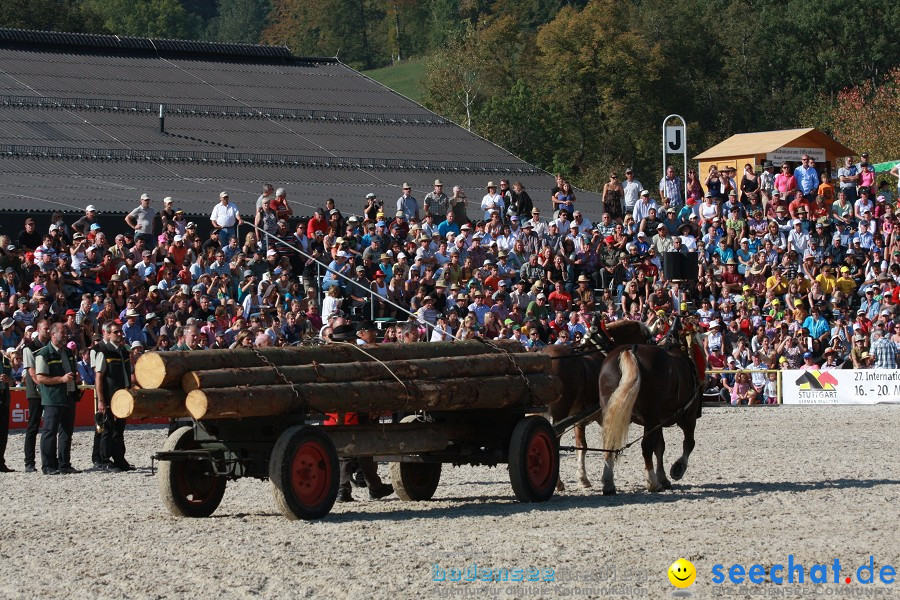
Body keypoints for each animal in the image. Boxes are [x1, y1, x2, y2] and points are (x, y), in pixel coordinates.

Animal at [600, 330, 708, 494]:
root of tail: (631, 351)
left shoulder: (659, 421)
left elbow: (660, 447)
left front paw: (663, 478)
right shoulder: (687, 417)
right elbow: (689, 443)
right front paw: (678, 468)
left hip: (612, 412)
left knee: (610, 442)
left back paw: (608, 483)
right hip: (653, 418)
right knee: (646, 447)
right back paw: (652, 482)